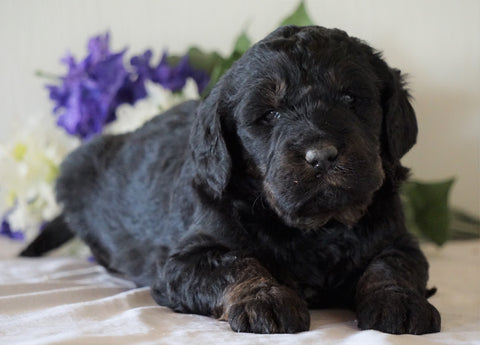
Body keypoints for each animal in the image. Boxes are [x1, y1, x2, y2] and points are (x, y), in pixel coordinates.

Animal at [23, 26, 442, 334]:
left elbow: (393, 264)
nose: (321, 155)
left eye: (351, 99)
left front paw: (399, 301)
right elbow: (236, 264)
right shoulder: (186, 258)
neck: (317, 229)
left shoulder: (397, 237)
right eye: (270, 115)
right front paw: (265, 300)